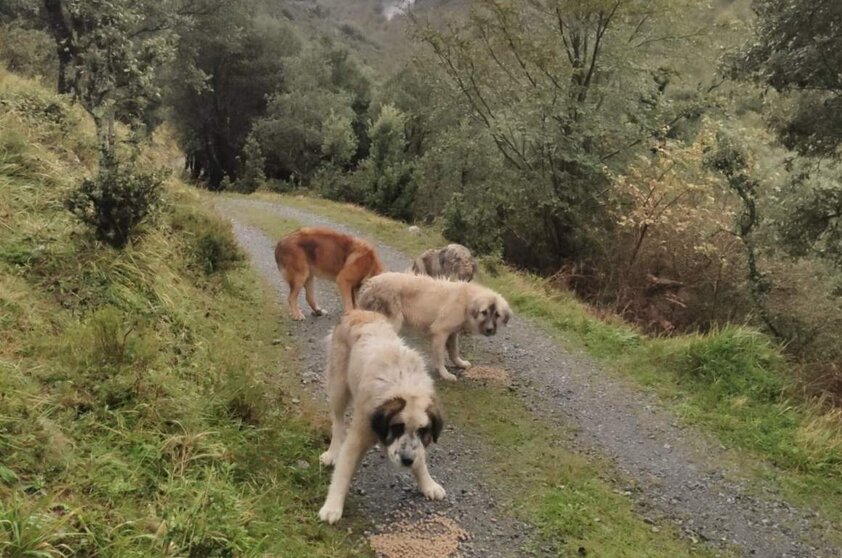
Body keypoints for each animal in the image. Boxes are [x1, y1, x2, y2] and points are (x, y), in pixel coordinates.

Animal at [316, 310, 446, 524]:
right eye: (397, 427)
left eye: (423, 431)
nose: (407, 460)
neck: (404, 386)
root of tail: (356, 311)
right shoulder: (358, 435)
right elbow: (343, 472)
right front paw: (332, 506)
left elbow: (420, 458)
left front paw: (428, 484)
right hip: (338, 387)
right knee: (338, 421)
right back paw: (333, 452)